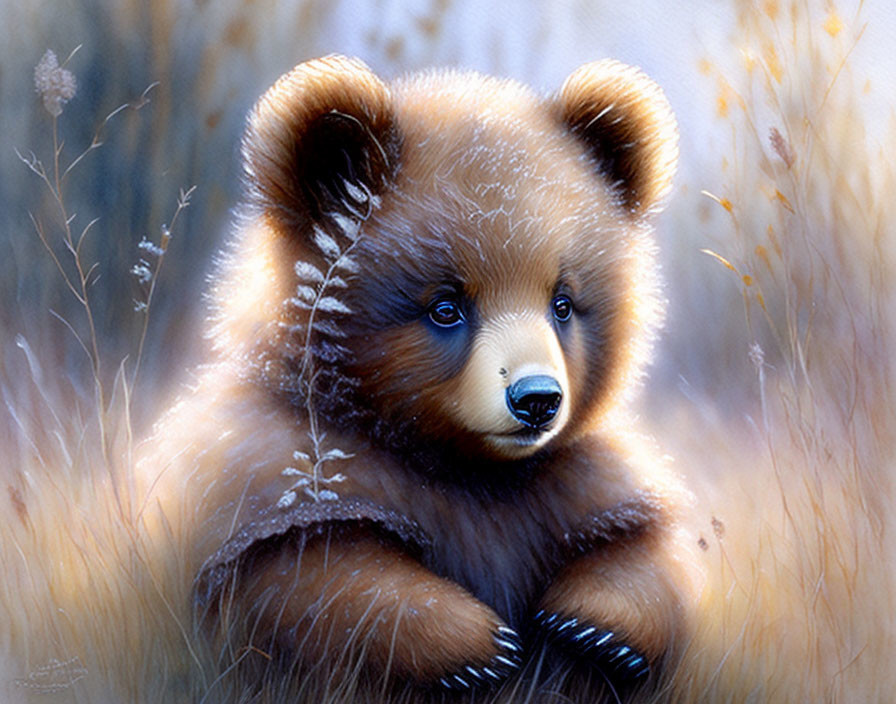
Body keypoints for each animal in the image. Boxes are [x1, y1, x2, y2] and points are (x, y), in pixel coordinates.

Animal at [138, 53, 700, 700]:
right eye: (446, 307)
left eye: (562, 302)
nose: (536, 399)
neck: (463, 463)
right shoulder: (272, 468)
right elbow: (319, 581)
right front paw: (478, 647)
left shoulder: (571, 481)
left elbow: (650, 550)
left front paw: (590, 627)